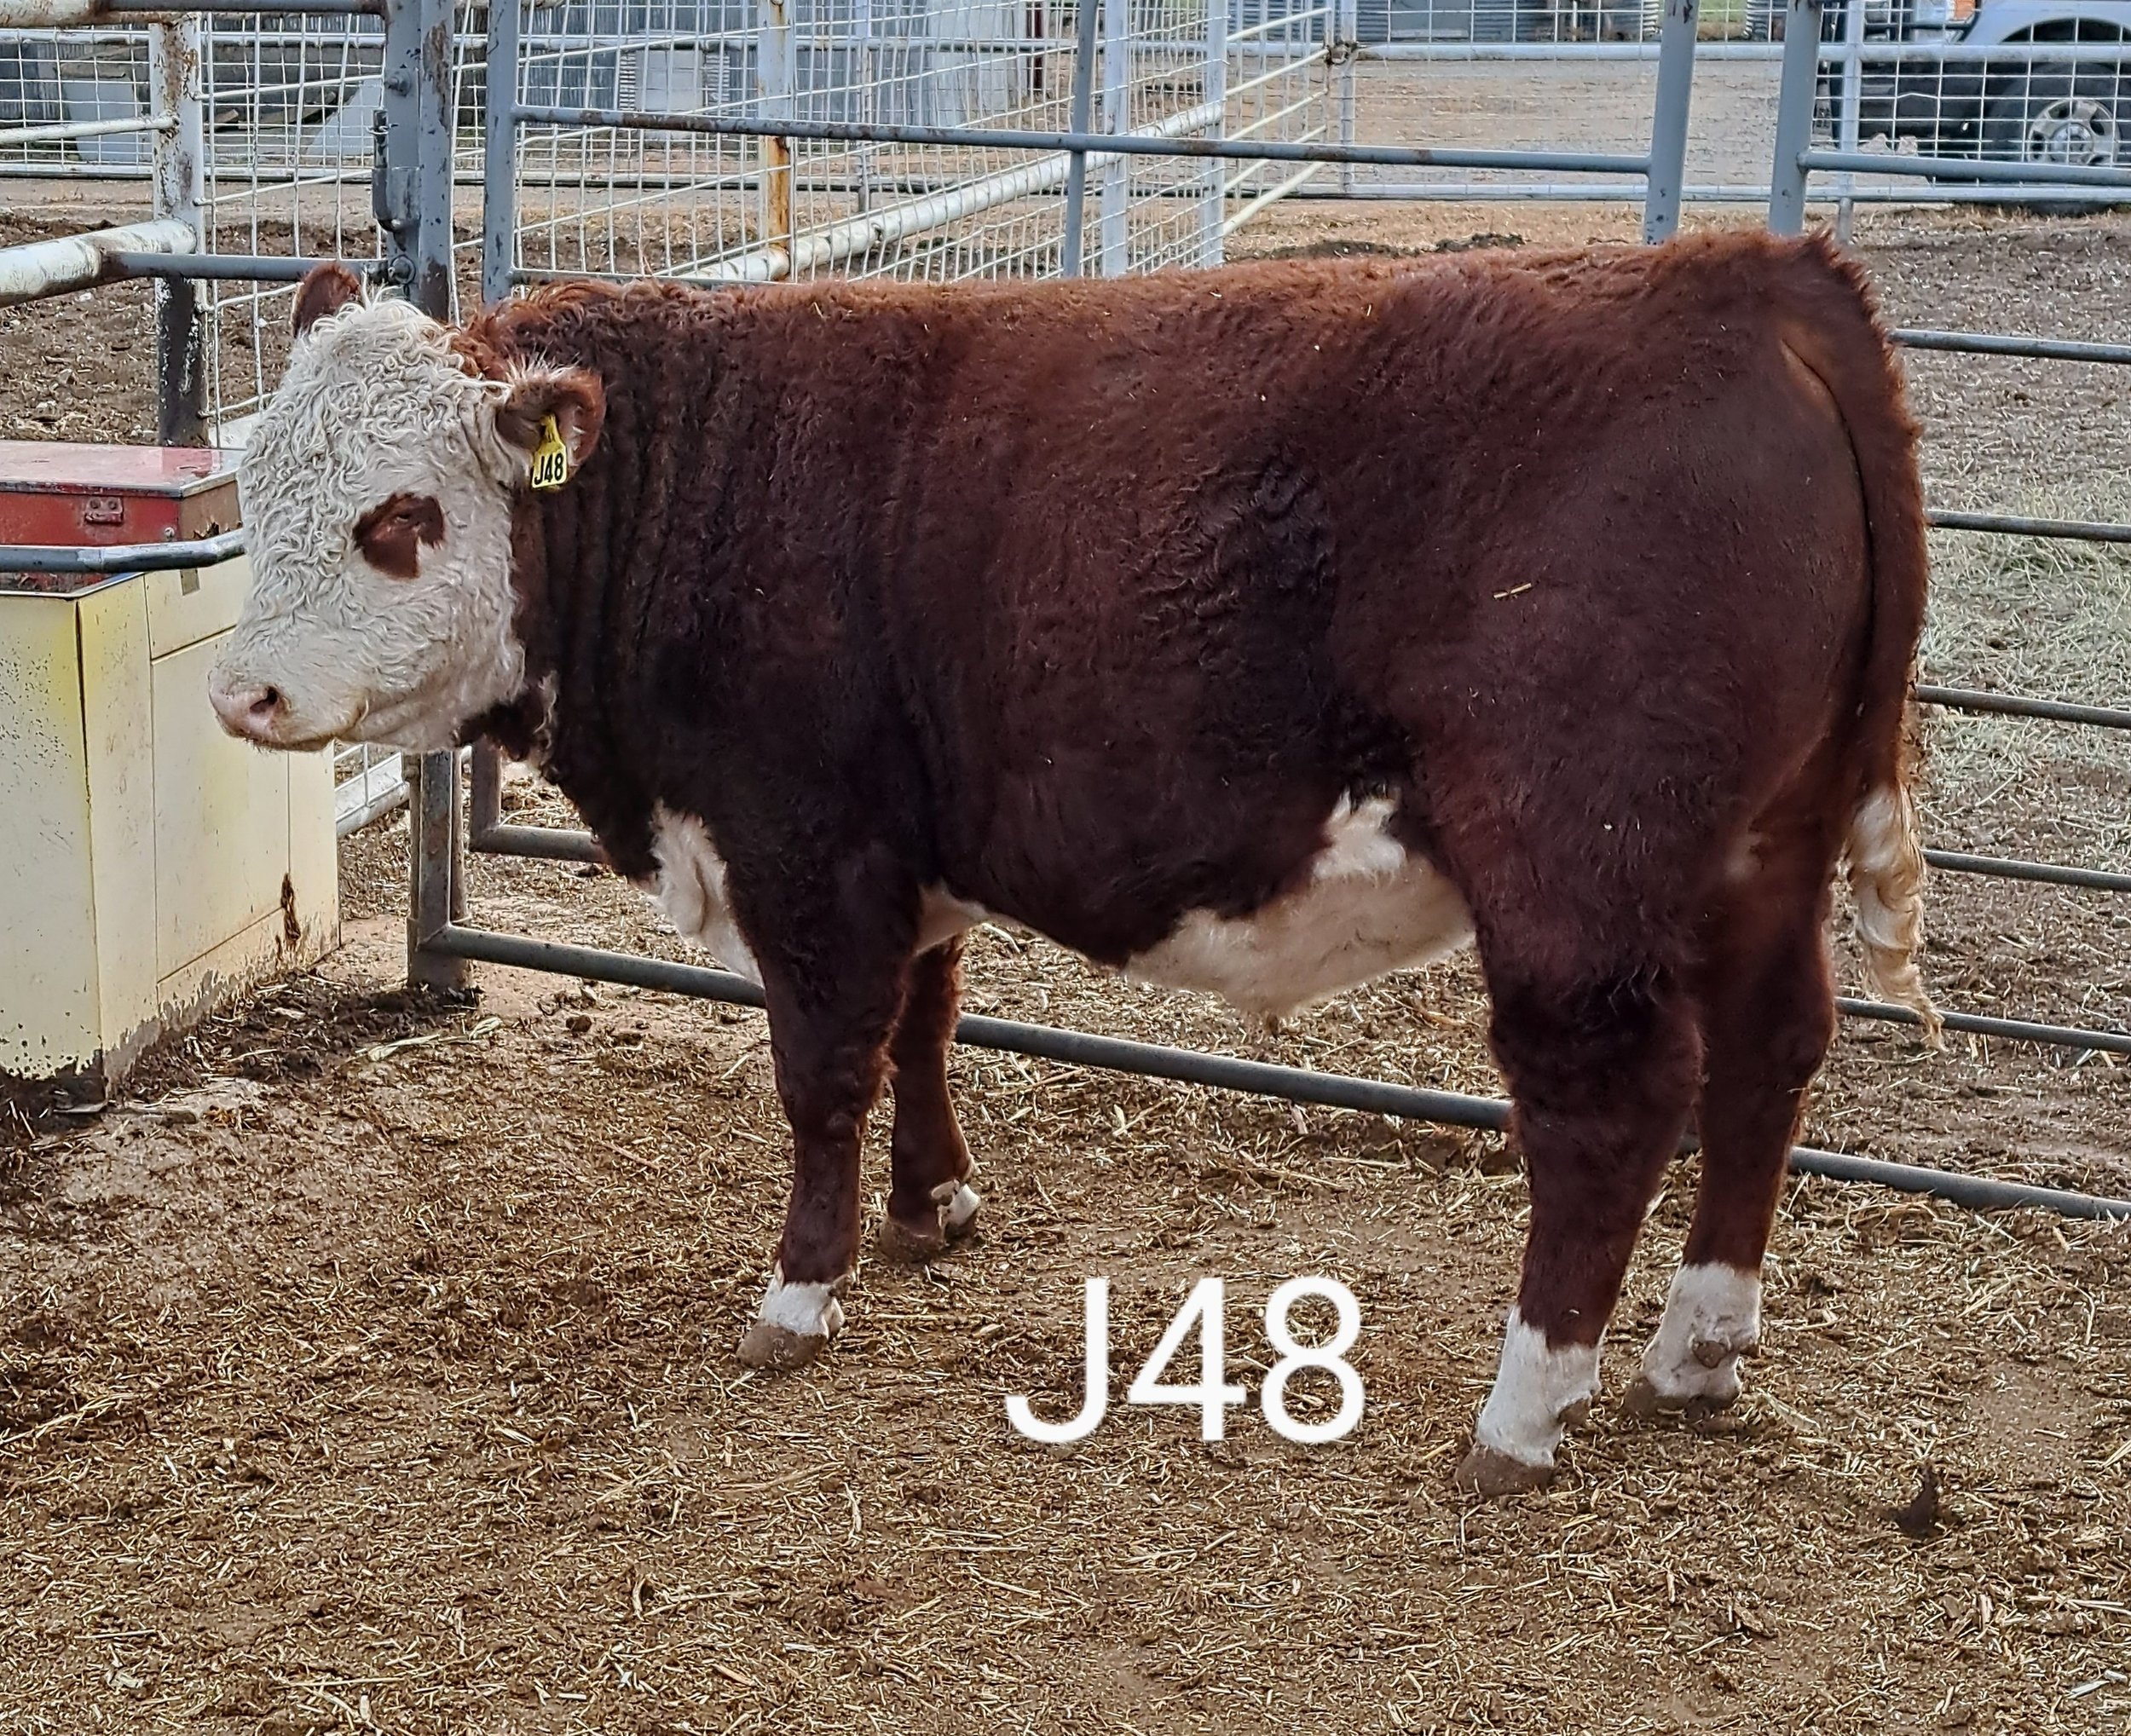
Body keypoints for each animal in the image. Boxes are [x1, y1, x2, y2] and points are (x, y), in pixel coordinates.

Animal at [208, 231, 1938, 1493]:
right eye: (254, 485)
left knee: (1612, 1107)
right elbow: (927, 1019)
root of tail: (1751, 272)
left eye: (399, 518)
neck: (704, 480)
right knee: (1772, 1057)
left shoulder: (805, 846)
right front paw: (936, 1205)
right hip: (1761, 852)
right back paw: (1697, 1351)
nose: (244, 698)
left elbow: (822, 1073)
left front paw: (801, 1291)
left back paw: (1522, 1413)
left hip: (1576, 874)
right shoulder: (914, 844)